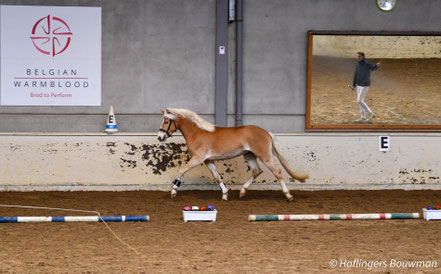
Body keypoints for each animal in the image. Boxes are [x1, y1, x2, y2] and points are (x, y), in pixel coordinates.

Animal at [156, 107, 308, 201]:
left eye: (167, 121)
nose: (160, 137)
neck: (197, 132)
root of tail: (266, 132)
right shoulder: (208, 161)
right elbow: (217, 177)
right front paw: (225, 195)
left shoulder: (198, 159)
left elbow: (181, 170)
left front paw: (174, 191)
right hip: (249, 155)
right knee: (256, 171)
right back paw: (242, 191)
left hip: (264, 156)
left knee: (277, 171)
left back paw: (288, 196)